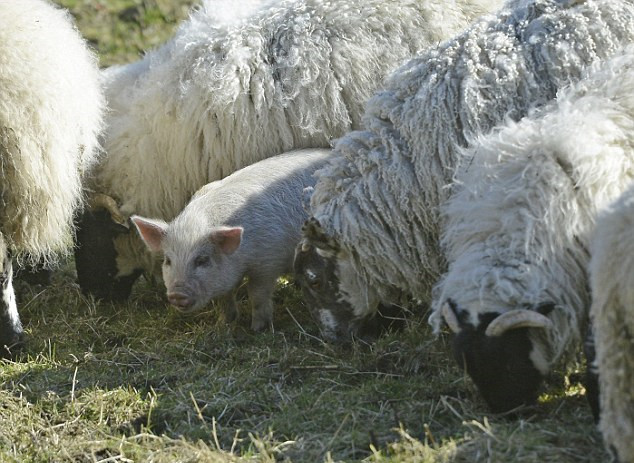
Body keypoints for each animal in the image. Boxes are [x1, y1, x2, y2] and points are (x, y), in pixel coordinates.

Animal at [132, 149, 330, 330]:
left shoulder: (268, 263)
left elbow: (256, 294)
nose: (177, 295)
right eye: (168, 260)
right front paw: (223, 324)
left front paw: (257, 328)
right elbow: (224, 297)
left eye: (202, 260)